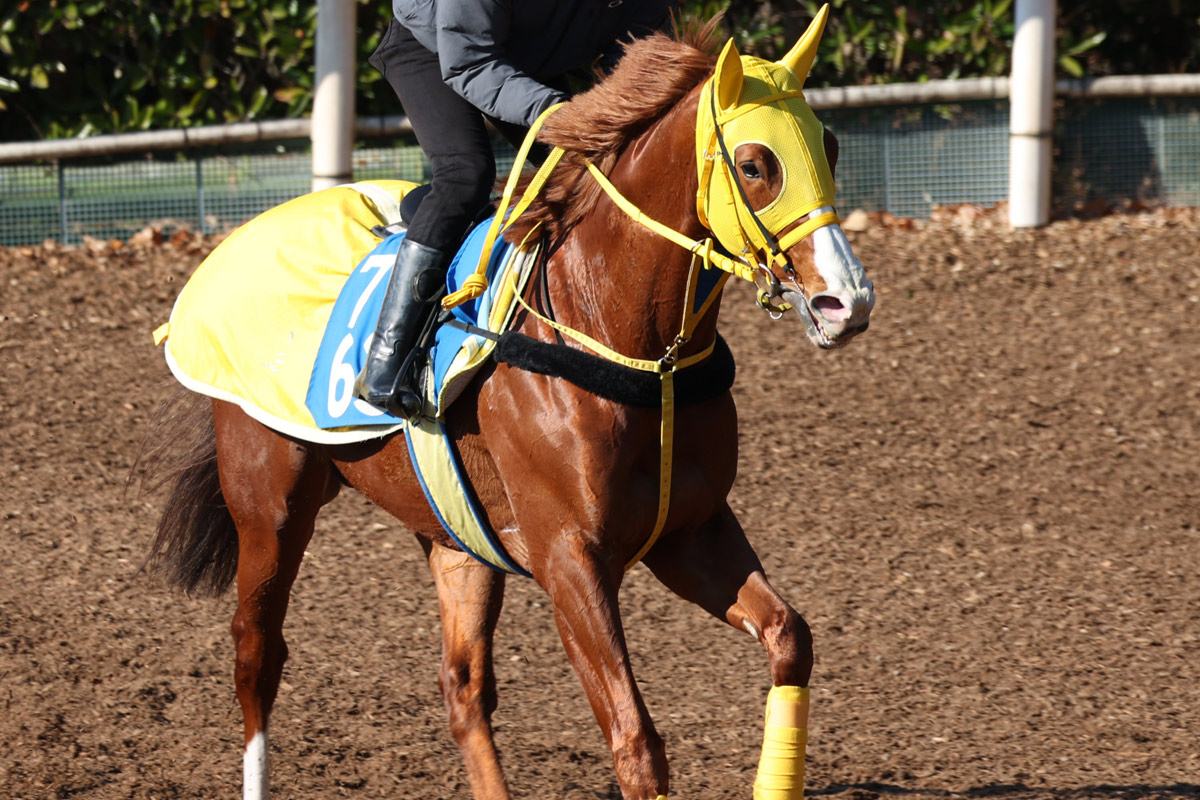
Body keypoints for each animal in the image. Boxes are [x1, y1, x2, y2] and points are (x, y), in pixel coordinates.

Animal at [140, 10, 874, 800]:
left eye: (830, 146)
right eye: (756, 164)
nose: (847, 300)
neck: (620, 337)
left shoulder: (690, 533)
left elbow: (790, 638)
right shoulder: (569, 558)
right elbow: (635, 743)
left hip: (455, 540)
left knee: (462, 688)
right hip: (270, 510)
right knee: (257, 656)